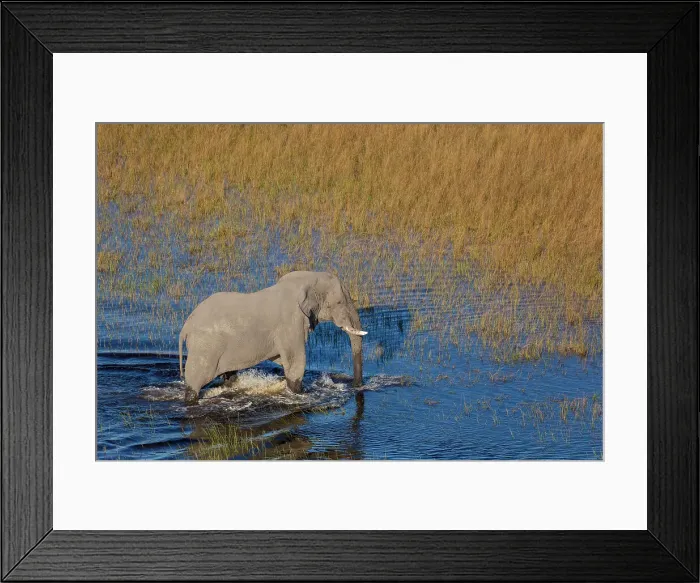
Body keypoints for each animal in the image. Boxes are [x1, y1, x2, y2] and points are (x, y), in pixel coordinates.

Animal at [178, 271, 366, 403]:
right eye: (339, 303)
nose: (356, 386)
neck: (306, 280)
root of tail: (185, 327)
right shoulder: (291, 323)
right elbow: (296, 362)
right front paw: (300, 393)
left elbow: (282, 359)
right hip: (205, 348)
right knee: (196, 381)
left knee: (229, 375)